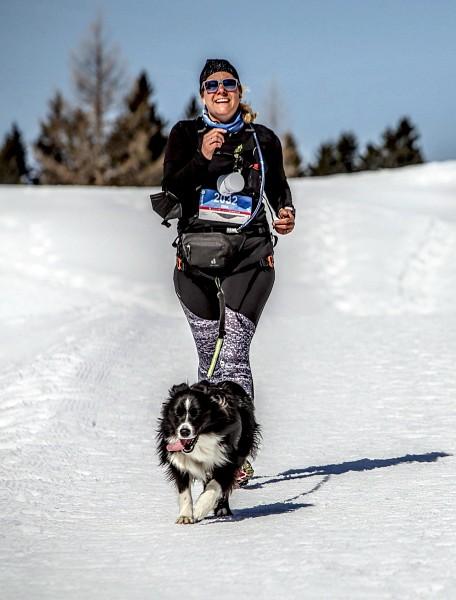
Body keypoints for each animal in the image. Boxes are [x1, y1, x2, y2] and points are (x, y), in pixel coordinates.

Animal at [158, 382, 260, 524]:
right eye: (177, 413)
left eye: (196, 414)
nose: (184, 431)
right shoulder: (178, 459)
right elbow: (184, 490)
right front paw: (185, 516)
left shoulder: (227, 459)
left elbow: (215, 485)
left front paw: (199, 509)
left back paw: (222, 509)